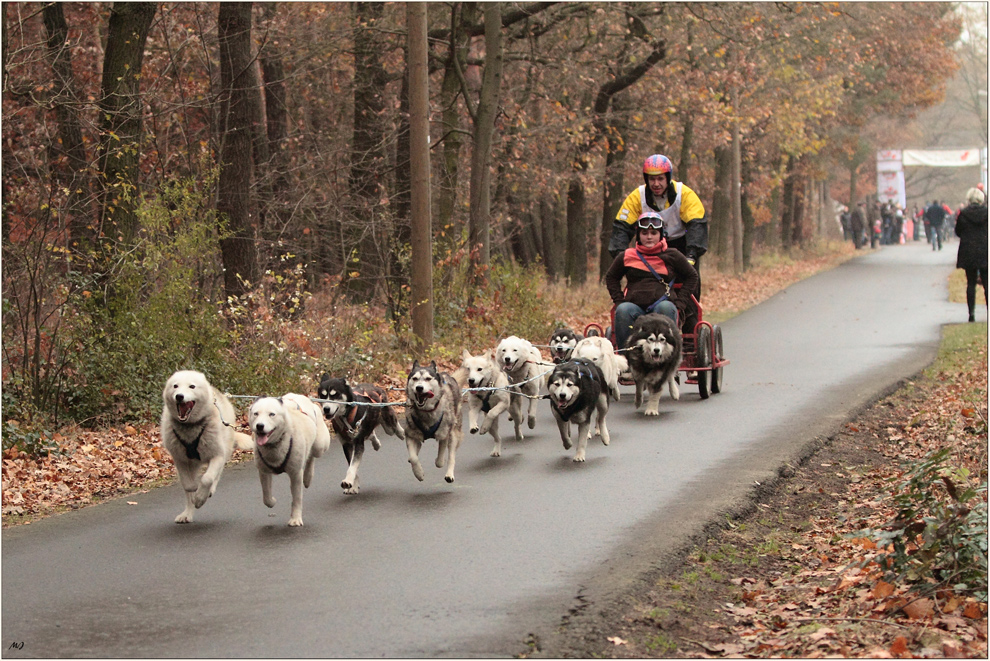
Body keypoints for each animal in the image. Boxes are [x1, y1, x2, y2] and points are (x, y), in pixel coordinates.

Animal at [159, 368, 252, 524]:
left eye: (192, 386)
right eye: (175, 386)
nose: (179, 396)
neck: (191, 427)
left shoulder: (217, 455)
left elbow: (207, 478)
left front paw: (201, 497)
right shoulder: (180, 459)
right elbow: (188, 485)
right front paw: (195, 494)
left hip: (223, 452)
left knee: (216, 475)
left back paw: (209, 491)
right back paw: (187, 513)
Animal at [250, 392, 332, 524]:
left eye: (272, 414)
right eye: (256, 413)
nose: (260, 426)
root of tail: (298, 396)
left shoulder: (295, 473)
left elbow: (297, 499)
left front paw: (295, 519)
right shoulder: (263, 471)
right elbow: (266, 496)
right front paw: (272, 501)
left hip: (320, 445)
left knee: (312, 455)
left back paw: (308, 477)